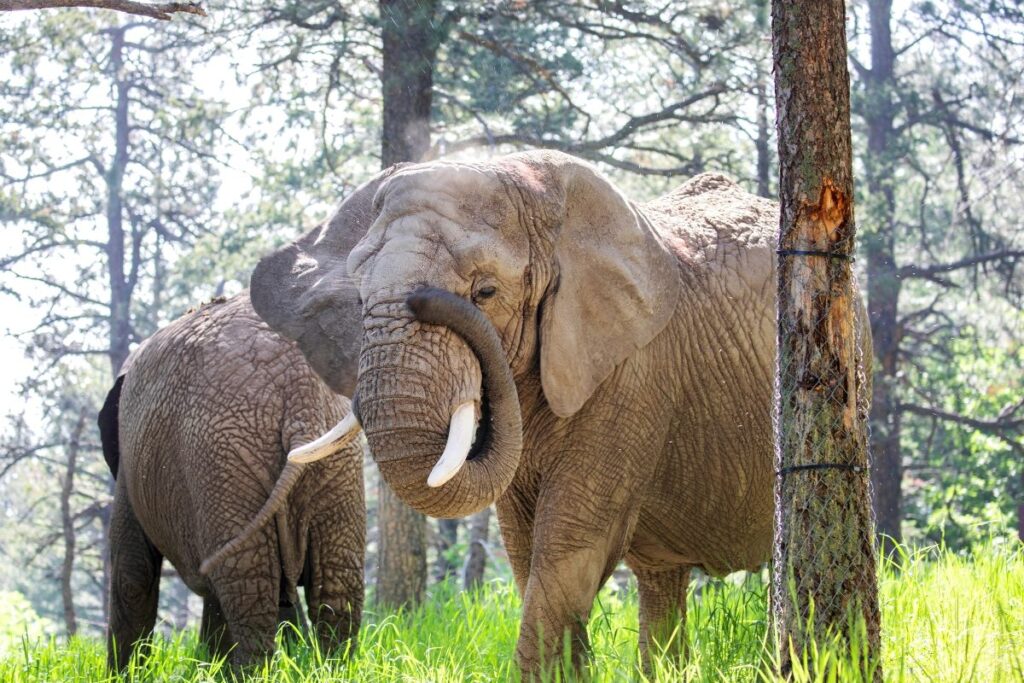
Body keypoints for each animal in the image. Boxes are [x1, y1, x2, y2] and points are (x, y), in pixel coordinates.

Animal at [97, 292, 365, 671]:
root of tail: (299, 393)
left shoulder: (129, 469)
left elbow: (132, 574)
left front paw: (122, 676)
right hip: (333, 464)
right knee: (335, 585)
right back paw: (330, 669)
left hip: (222, 458)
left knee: (247, 585)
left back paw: (253, 672)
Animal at [247, 151, 871, 675]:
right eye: (358, 300)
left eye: (486, 292)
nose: (427, 298)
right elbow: (524, 548)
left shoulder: (633, 373)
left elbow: (571, 541)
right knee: (660, 579)